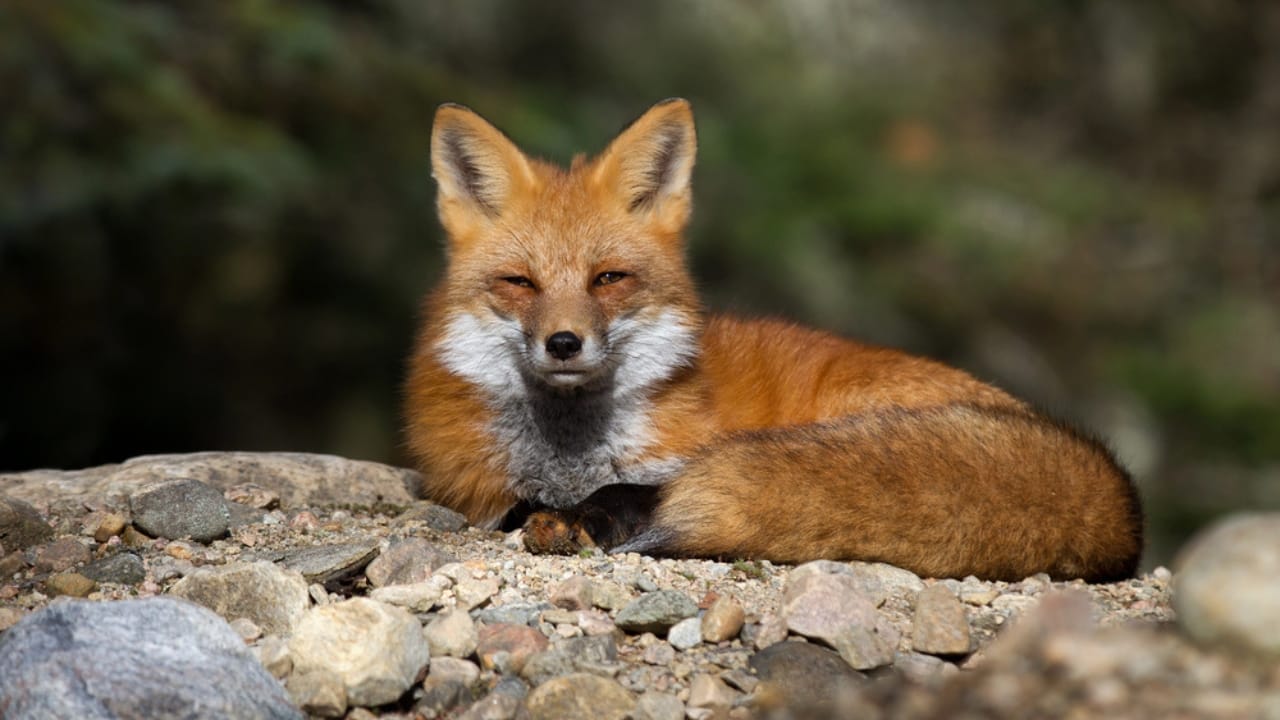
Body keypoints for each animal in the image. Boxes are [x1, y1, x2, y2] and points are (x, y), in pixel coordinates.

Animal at [403, 98, 1143, 582]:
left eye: (608, 278)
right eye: (520, 283)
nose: (563, 342)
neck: (569, 457)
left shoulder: (670, 463)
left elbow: (628, 491)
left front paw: (585, 517)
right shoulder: (476, 488)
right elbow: (515, 506)